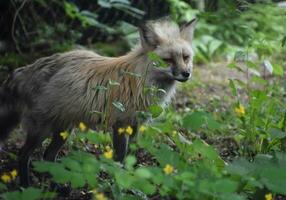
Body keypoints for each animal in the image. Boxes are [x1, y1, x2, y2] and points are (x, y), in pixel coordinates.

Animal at [0, 17, 197, 186]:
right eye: (168, 60)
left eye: (186, 57)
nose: (186, 74)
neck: (139, 80)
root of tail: (27, 68)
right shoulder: (120, 124)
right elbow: (120, 159)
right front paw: (118, 182)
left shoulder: (136, 125)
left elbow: (132, 156)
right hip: (41, 130)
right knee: (23, 155)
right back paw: (26, 186)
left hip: (64, 130)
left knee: (48, 156)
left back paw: (56, 186)